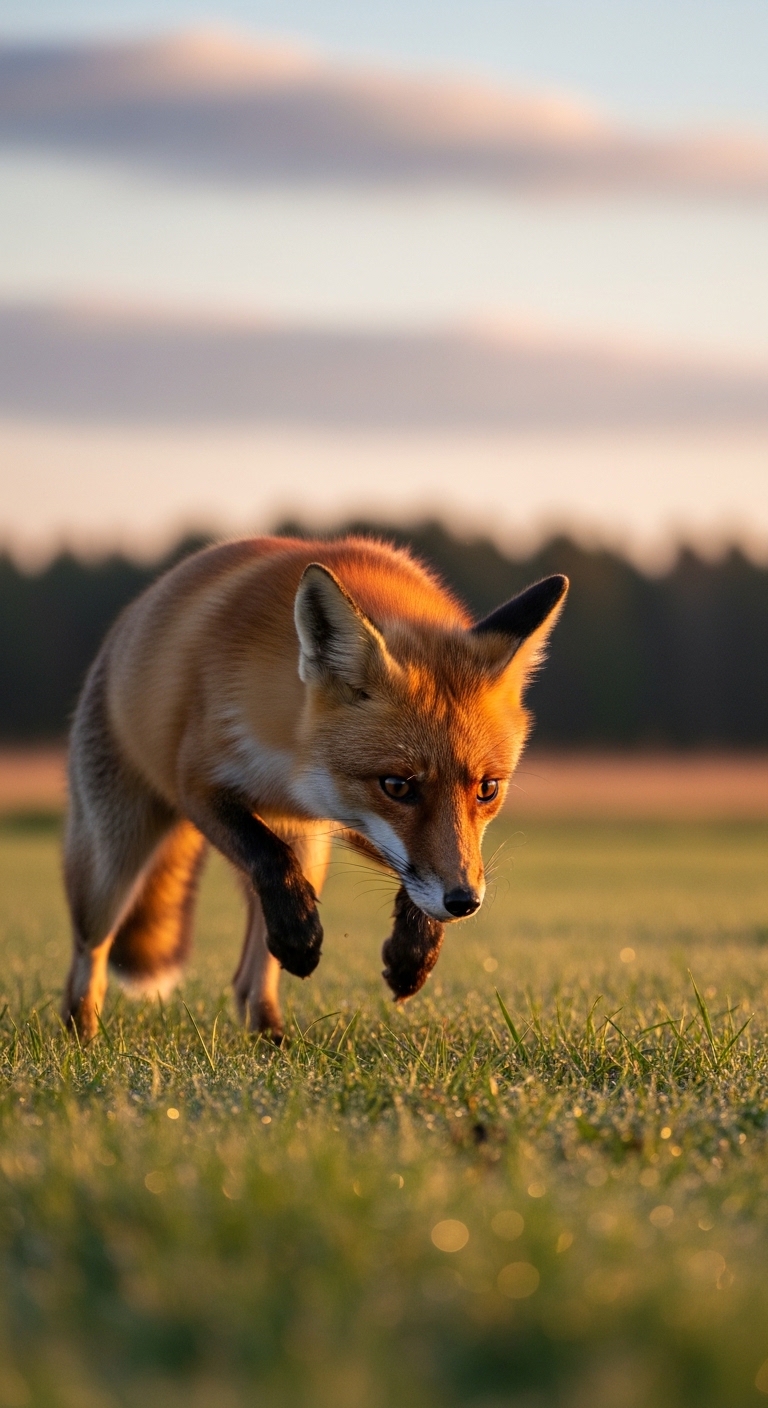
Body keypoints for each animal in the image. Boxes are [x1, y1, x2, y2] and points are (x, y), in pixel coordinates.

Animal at [62, 535, 567, 1042]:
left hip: (310, 848)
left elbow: (423, 872)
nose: (464, 902)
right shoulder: (199, 785)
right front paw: (300, 936)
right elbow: (269, 855)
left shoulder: (349, 820)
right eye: (397, 786)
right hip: (112, 862)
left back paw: (271, 1038)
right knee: (89, 957)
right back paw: (82, 1036)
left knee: (250, 977)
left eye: (487, 789)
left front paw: (414, 953)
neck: (296, 765)